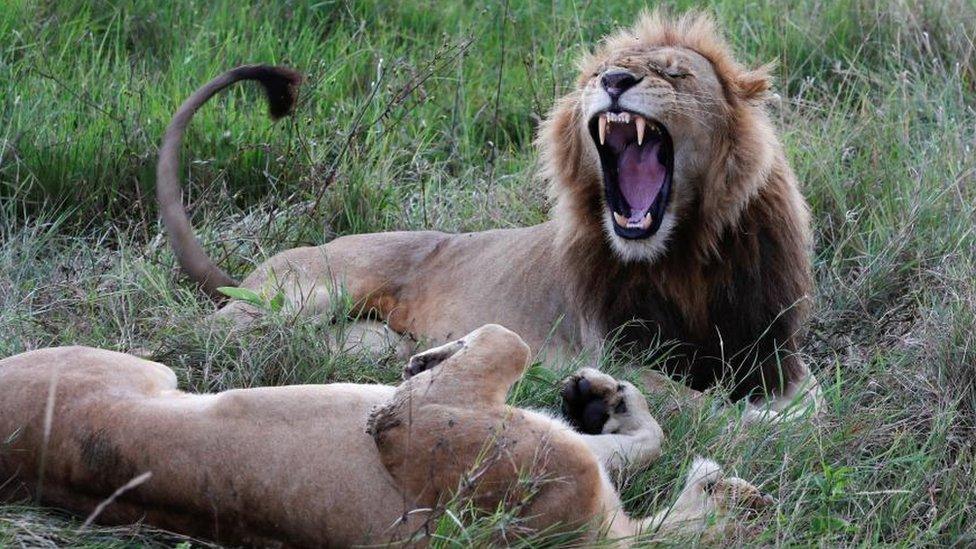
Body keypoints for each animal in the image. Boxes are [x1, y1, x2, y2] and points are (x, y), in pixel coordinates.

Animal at [160, 11, 824, 416]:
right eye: (596, 73)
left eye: (674, 72)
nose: (613, 78)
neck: (681, 255)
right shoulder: (615, 350)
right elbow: (700, 405)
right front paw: (749, 420)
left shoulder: (772, 348)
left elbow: (810, 402)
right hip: (303, 294)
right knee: (204, 334)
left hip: (361, 342)